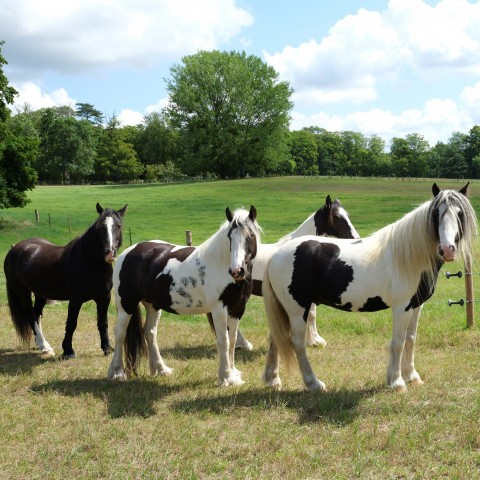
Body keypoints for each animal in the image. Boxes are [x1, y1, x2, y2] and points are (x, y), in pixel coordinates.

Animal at [3, 204, 126, 358]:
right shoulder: (75, 299)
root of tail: (14, 250)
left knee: (37, 314)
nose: (109, 253)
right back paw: (45, 347)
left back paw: (40, 344)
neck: (88, 261)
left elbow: (103, 323)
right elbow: (72, 323)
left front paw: (107, 348)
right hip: (22, 292)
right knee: (31, 316)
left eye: (118, 225)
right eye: (99, 227)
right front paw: (68, 351)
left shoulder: (104, 297)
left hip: (40, 294)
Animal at [108, 205, 262, 386]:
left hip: (152, 305)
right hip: (126, 303)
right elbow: (223, 341)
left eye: (250, 236)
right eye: (229, 237)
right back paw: (116, 372)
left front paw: (234, 374)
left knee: (150, 332)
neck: (221, 265)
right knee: (120, 332)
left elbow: (232, 340)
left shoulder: (237, 309)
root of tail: (127, 253)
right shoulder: (218, 309)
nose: (237, 270)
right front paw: (226, 377)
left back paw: (161, 370)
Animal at [262, 186, 476, 392]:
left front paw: (412, 376)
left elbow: (410, 339)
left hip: (287, 309)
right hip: (298, 309)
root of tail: (275, 255)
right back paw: (314, 383)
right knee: (297, 342)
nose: (447, 249)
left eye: (460, 213)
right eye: (436, 214)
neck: (408, 256)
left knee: (276, 339)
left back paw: (272, 380)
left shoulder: (416, 306)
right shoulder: (402, 307)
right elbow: (398, 342)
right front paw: (396, 382)